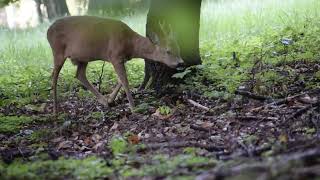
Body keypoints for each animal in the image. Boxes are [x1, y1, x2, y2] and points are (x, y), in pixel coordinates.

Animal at [46, 16, 184, 116]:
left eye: (178, 48)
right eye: (168, 51)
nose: (180, 63)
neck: (130, 45)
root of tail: (48, 31)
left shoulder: (121, 59)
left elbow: (120, 79)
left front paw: (110, 99)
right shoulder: (115, 56)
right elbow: (125, 81)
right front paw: (134, 108)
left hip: (82, 58)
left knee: (79, 75)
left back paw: (103, 101)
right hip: (57, 51)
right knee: (54, 76)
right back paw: (55, 111)